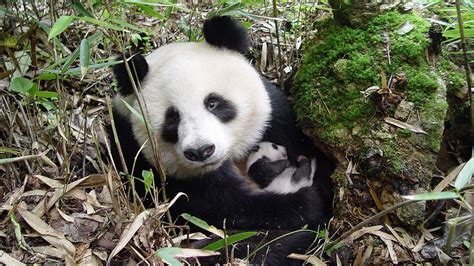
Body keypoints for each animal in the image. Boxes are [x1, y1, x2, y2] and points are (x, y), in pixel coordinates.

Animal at [109, 16, 336, 264]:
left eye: (213, 103)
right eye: (172, 118)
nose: (201, 151)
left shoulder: (276, 120)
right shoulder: (145, 160)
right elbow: (226, 208)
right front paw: (304, 204)